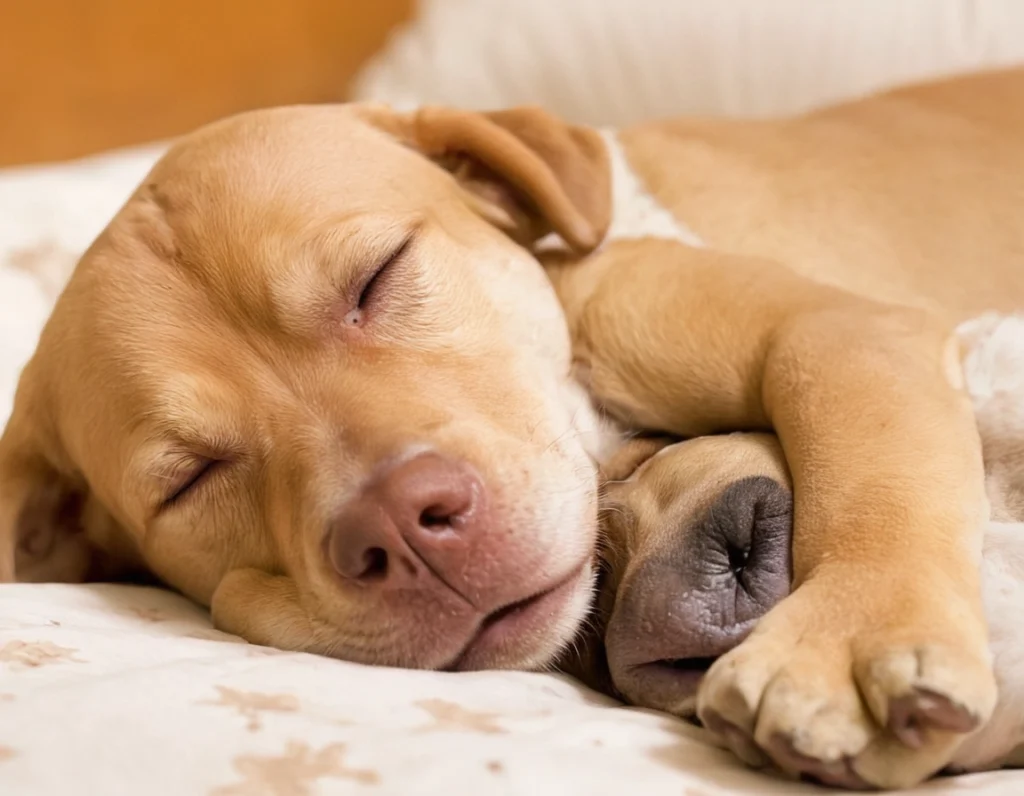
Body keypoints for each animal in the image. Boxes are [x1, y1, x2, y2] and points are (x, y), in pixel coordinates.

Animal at [2, 69, 1024, 786]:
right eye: (189, 479)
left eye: (379, 274)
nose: (401, 528)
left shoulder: (836, 332)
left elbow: (873, 473)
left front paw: (851, 634)